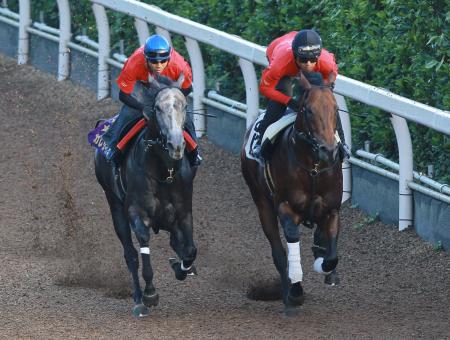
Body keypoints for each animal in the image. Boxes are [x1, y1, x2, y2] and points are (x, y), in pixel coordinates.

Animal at [94, 73, 197, 316]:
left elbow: (189, 250)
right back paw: (139, 298)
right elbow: (142, 248)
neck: (164, 173)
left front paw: (181, 267)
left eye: (184, 105)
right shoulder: (136, 213)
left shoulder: (184, 213)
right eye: (157, 108)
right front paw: (150, 294)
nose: (176, 144)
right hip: (114, 204)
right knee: (130, 254)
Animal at [243, 71, 342, 314]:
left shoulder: (332, 209)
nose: (328, 151)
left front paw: (324, 264)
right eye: (309, 110)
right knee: (279, 253)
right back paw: (288, 293)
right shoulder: (286, 207)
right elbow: (291, 239)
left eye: (335, 109)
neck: (313, 168)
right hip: (261, 203)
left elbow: (331, 257)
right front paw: (296, 291)